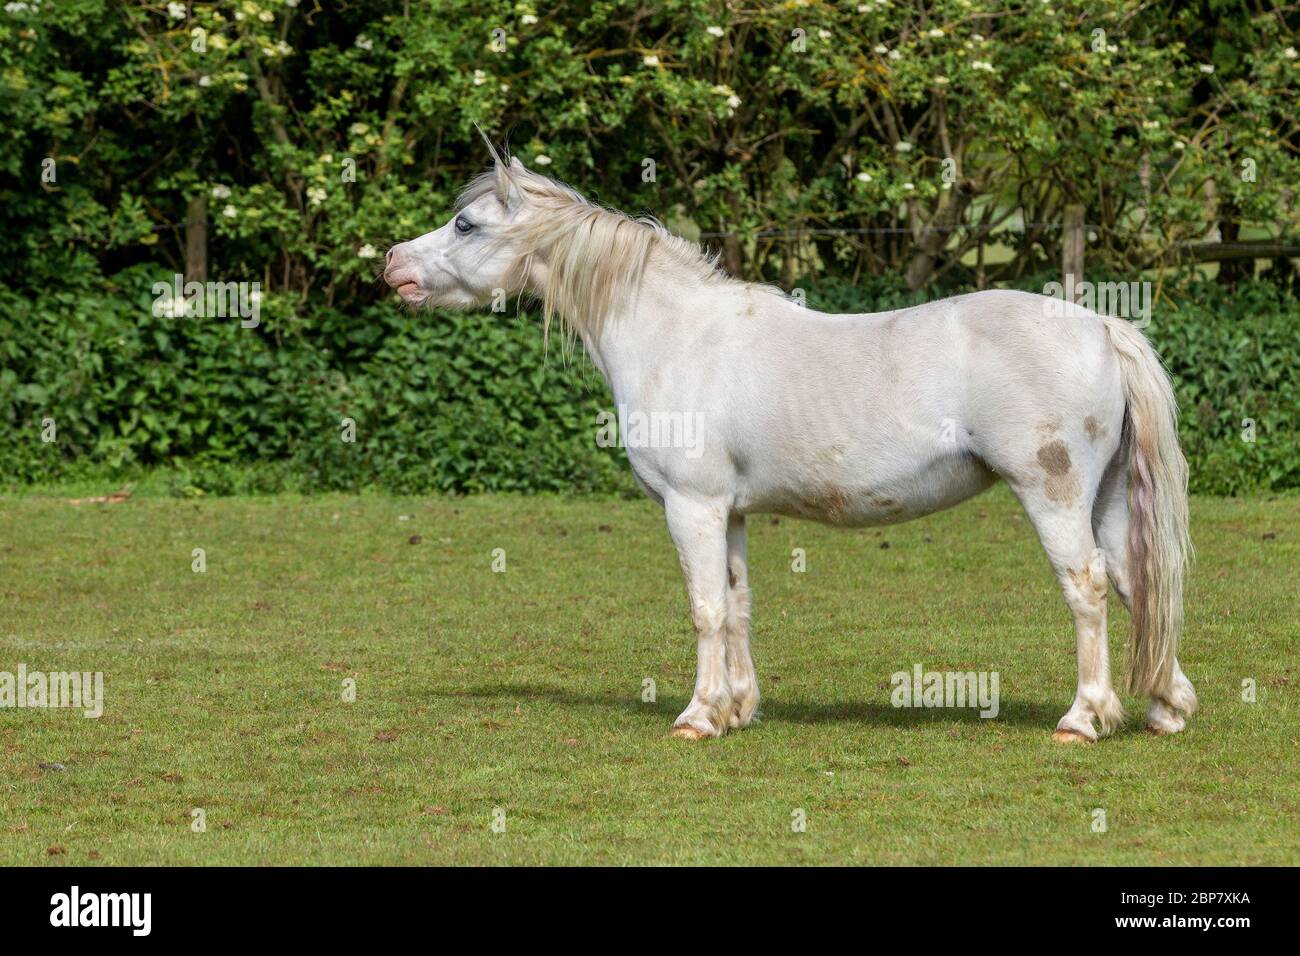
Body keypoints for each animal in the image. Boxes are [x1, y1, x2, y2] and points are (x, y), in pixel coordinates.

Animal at [383, 145, 1196, 743]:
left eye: (465, 225)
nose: (391, 263)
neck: (675, 335)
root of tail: (1102, 326)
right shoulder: (731, 511)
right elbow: (738, 603)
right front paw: (737, 710)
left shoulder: (692, 506)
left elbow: (705, 609)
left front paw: (696, 718)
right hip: (1107, 500)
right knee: (1137, 582)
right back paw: (1165, 708)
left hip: (1054, 497)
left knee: (1089, 589)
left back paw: (1083, 720)